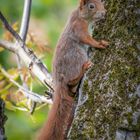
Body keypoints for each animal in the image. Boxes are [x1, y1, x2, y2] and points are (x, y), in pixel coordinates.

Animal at [37, 0, 109, 139]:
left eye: (102, 3)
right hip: (77, 57)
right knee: (71, 80)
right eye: (91, 6)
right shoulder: (78, 27)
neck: (80, 16)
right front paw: (100, 44)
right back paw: (83, 69)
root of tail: (59, 82)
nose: (104, 12)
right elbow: (86, 38)